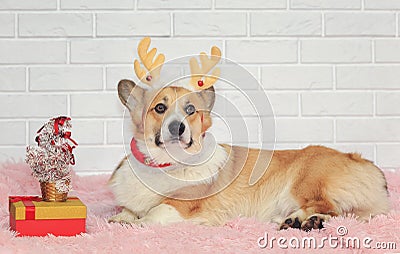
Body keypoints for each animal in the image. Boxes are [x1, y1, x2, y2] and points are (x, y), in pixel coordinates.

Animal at [108, 37, 390, 230]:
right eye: (160, 107)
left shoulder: (183, 206)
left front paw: (135, 223)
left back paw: (305, 220)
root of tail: (368, 165)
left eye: (190, 110)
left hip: (306, 183)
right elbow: (128, 210)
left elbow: (154, 213)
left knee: (330, 208)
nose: (178, 127)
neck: (164, 164)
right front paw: (119, 218)